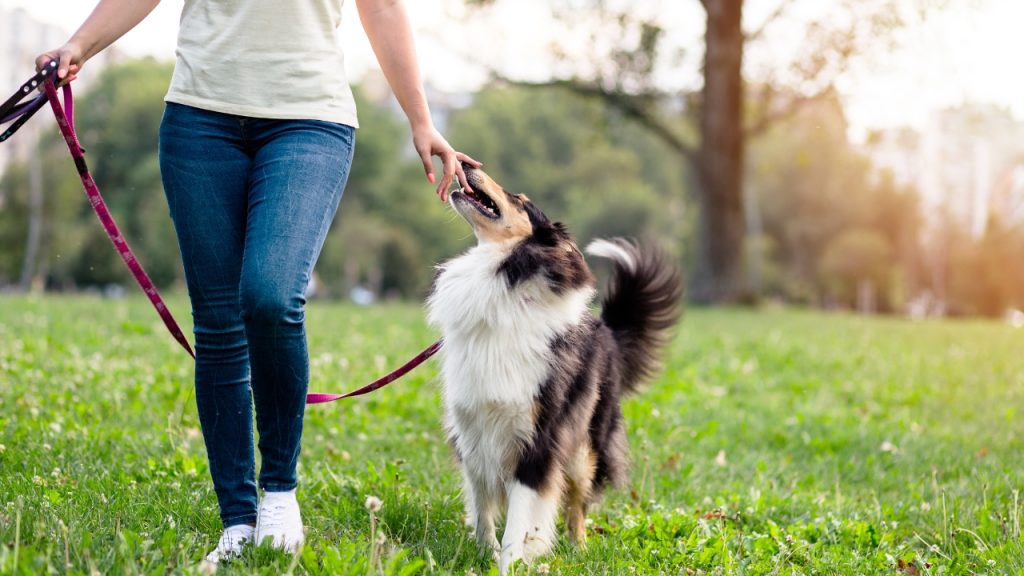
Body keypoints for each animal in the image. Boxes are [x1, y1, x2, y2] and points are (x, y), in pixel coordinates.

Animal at [428, 163, 684, 569]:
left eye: (520, 200)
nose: (468, 165)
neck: (503, 279)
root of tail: (607, 328)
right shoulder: (472, 431)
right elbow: (483, 507)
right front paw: (483, 552)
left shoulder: (540, 440)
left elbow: (520, 521)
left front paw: (510, 565)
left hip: (584, 448)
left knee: (578, 505)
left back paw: (579, 549)